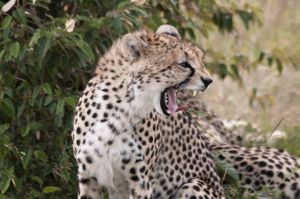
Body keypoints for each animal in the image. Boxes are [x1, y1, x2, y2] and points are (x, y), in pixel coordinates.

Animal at [71, 25, 225, 199]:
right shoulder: (88, 176)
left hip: (192, 185)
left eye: (200, 59)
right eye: (184, 64)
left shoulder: (141, 182)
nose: (208, 81)